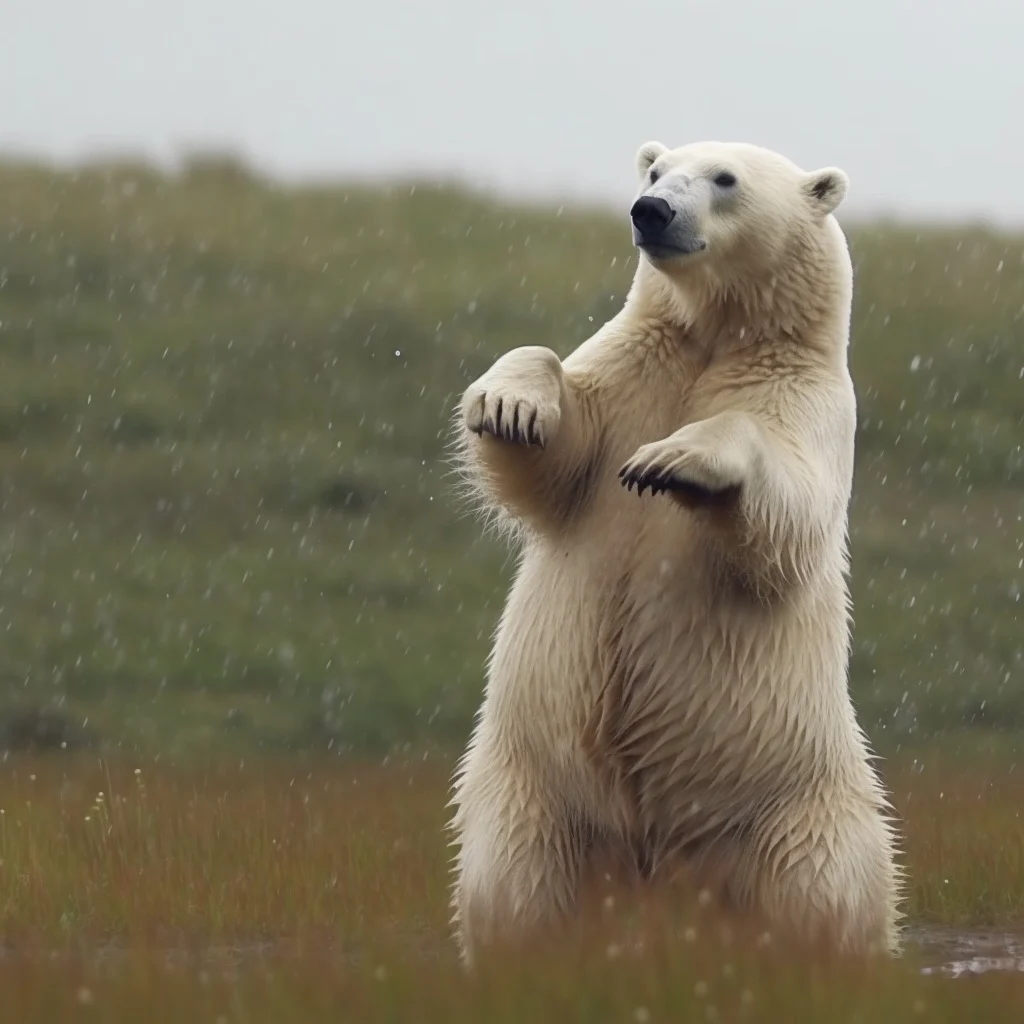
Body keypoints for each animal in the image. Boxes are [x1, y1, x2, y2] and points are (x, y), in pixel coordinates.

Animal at [447, 139, 903, 966]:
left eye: (726, 179)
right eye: (658, 171)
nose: (651, 211)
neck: (714, 336)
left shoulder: (808, 403)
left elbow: (785, 512)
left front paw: (675, 460)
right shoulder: (631, 375)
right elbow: (552, 452)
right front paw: (510, 403)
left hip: (795, 805)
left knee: (823, 897)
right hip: (531, 793)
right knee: (515, 889)